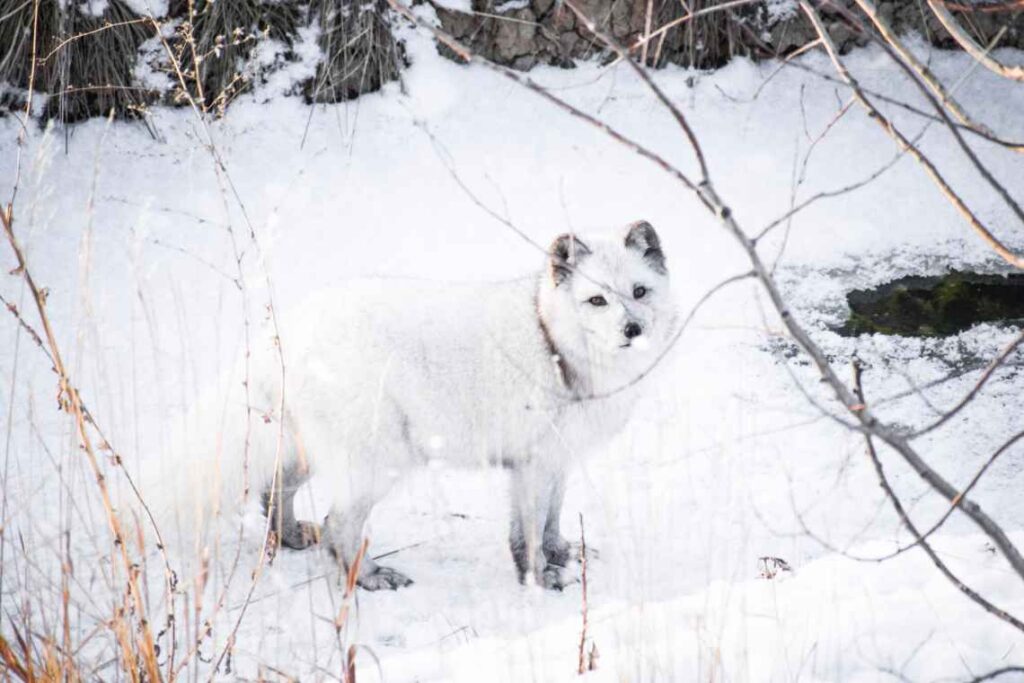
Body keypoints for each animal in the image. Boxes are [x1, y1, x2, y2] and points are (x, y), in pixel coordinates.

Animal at [157, 222, 671, 589]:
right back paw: (366, 578)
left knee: (274, 491)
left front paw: (563, 553)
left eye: (639, 292)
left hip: (308, 450)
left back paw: (293, 538)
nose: (633, 330)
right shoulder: (531, 465)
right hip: (378, 462)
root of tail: (284, 332)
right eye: (597, 300)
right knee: (338, 525)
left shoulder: (558, 460)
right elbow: (527, 533)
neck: (554, 344)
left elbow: (551, 521)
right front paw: (540, 577)